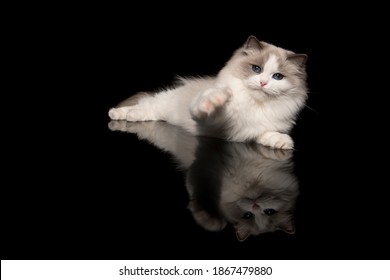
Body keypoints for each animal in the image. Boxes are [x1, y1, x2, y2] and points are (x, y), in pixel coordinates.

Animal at [109, 35, 308, 150]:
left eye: (277, 76)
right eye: (256, 69)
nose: (263, 83)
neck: (254, 104)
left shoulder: (258, 129)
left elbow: (268, 134)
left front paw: (283, 143)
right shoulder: (211, 121)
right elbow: (207, 108)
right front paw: (215, 100)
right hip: (160, 103)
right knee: (142, 106)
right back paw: (118, 114)